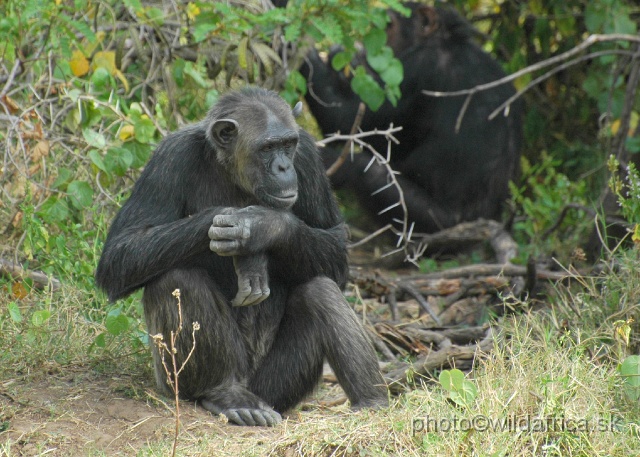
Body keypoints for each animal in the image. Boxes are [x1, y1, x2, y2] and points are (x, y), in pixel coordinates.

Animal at [94, 87, 384, 426]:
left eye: (288, 145)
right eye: (268, 148)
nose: (283, 167)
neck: (231, 172)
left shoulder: (309, 159)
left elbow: (336, 247)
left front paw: (261, 227)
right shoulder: (169, 157)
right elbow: (122, 251)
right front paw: (237, 225)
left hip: (275, 388)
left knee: (321, 290)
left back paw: (373, 402)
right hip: (179, 379)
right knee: (175, 278)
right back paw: (227, 394)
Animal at [302, 1, 524, 233]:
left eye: (388, 26)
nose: (370, 47)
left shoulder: (417, 69)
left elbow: (346, 121)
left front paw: (308, 56)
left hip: (427, 221)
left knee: (365, 170)